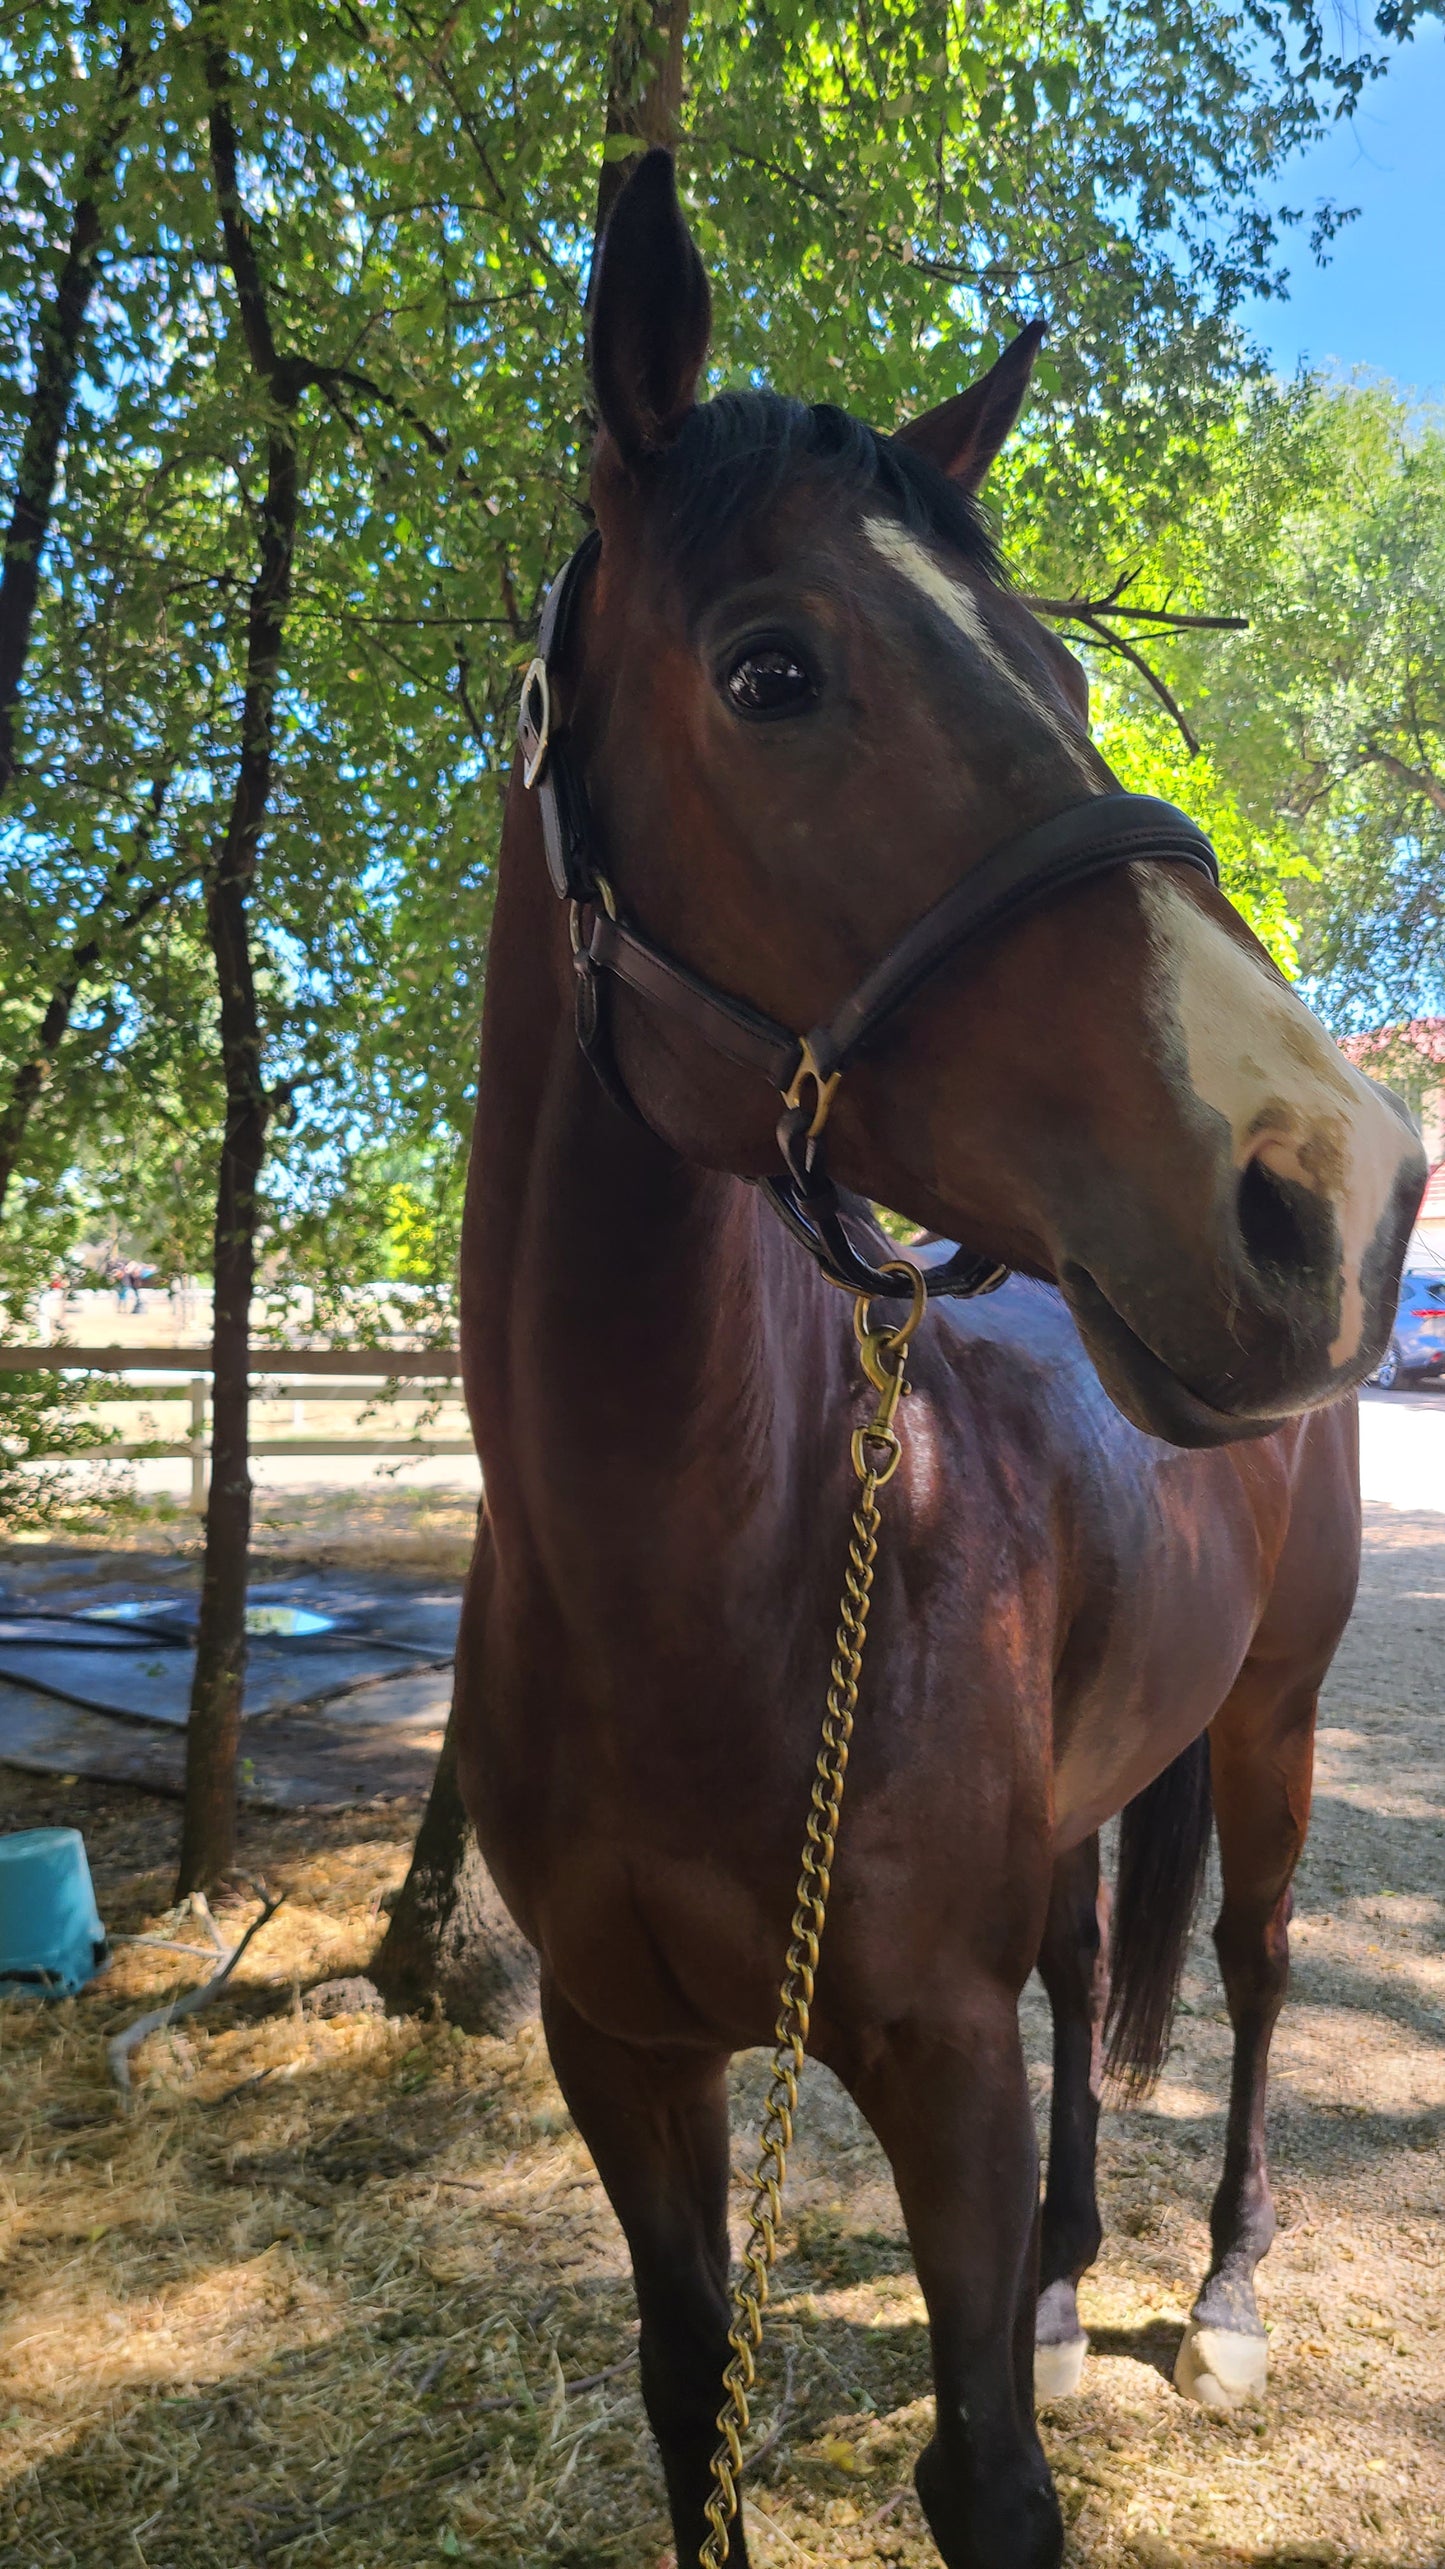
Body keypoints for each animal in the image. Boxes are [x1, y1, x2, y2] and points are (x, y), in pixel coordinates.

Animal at [452, 155, 1419, 2569]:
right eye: (771, 670)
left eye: (1062, 670)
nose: (1342, 1185)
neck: (704, 1563)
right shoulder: (625, 2055)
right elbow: (690, 2406)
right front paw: (1028, 2304)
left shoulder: (933, 2062)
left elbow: (984, 2467)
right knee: (1084, 1966)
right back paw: (1079, 2282)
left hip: (1267, 1730)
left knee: (1252, 1973)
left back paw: (1216, 2292)